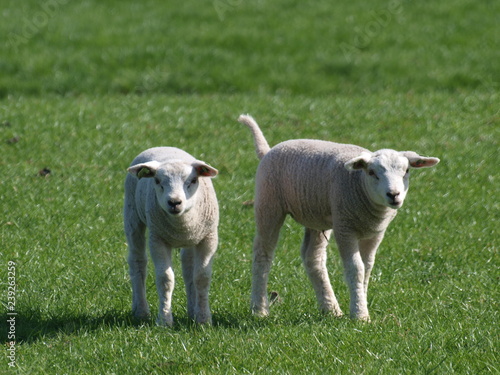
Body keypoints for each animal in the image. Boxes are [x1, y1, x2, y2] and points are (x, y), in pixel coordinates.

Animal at [123, 147, 219, 326]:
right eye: (157, 181)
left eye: (193, 180)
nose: (174, 202)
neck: (181, 224)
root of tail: (161, 147)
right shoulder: (157, 239)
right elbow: (165, 279)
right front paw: (164, 320)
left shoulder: (208, 238)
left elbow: (201, 277)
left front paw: (203, 319)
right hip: (132, 216)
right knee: (137, 261)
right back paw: (141, 310)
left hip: (191, 238)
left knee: (188, 267)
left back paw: (192, 311)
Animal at [240, 114, 440, 320]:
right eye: (371, 172)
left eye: (406, 171)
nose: (394, 195)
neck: (359, 184)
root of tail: (268, 151)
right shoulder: (345, 228)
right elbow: (356, 269)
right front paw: (360, 314)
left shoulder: (376, 233)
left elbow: (367, 268)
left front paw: (361, 304)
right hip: (269, 203)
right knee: (263, 253)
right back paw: (260, 309)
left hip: (317, 216)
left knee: (313, 257)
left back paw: (331, 309)